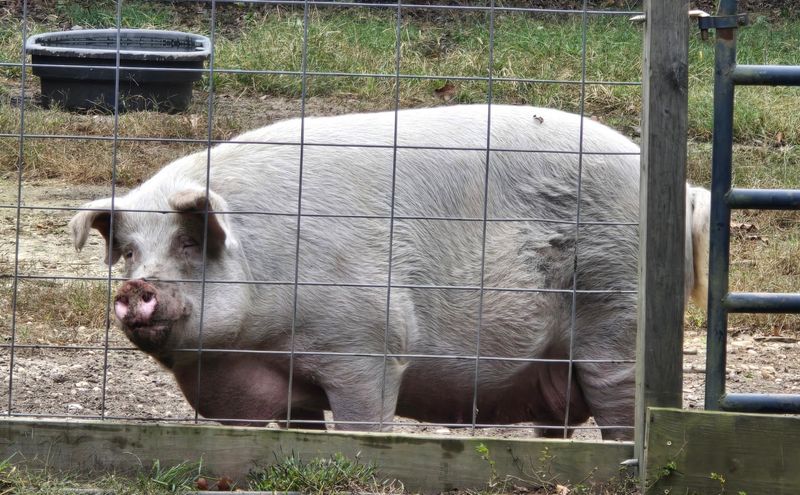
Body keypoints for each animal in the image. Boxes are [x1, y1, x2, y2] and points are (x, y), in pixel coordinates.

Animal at [69, 105, 709, 440]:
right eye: (128, 251)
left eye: (188, 242)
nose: (137, 286)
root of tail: (682, 191)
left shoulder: (370, 347)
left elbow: (364, 424)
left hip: (617, 315)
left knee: (620, 405)